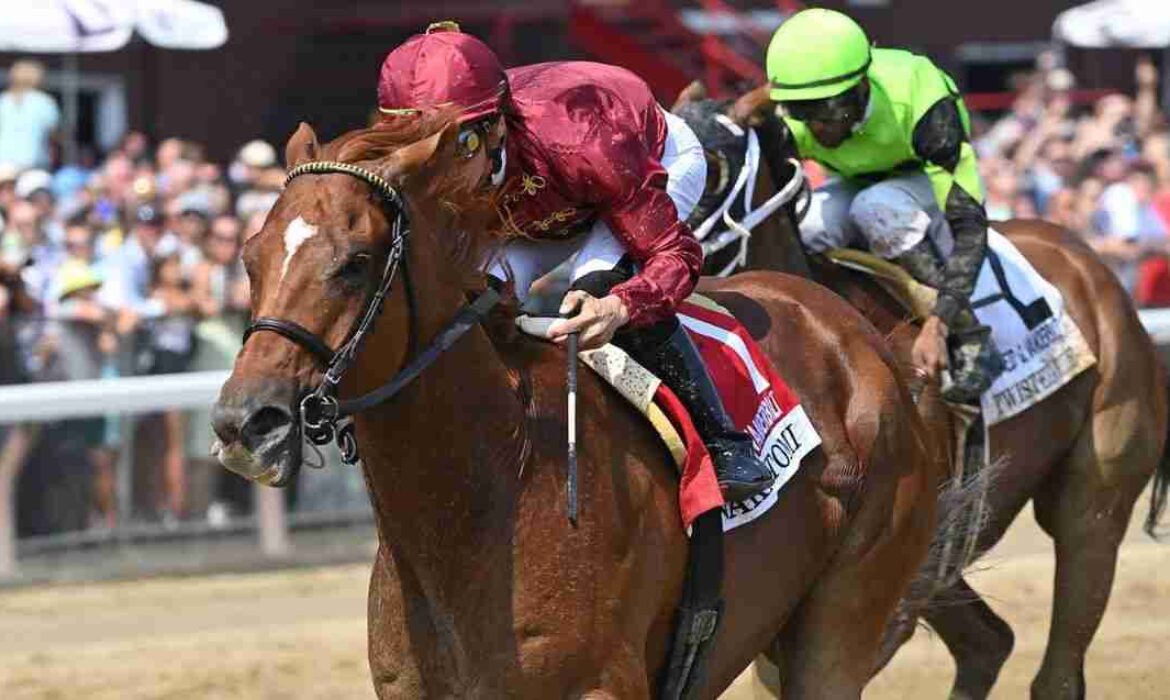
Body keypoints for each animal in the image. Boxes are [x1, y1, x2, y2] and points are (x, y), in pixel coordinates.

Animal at [210, 112, 940, 697]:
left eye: (356, 262)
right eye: (249, 258)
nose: (246, 423)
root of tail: (856, 331)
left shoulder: (598, 685)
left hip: (841, 619)